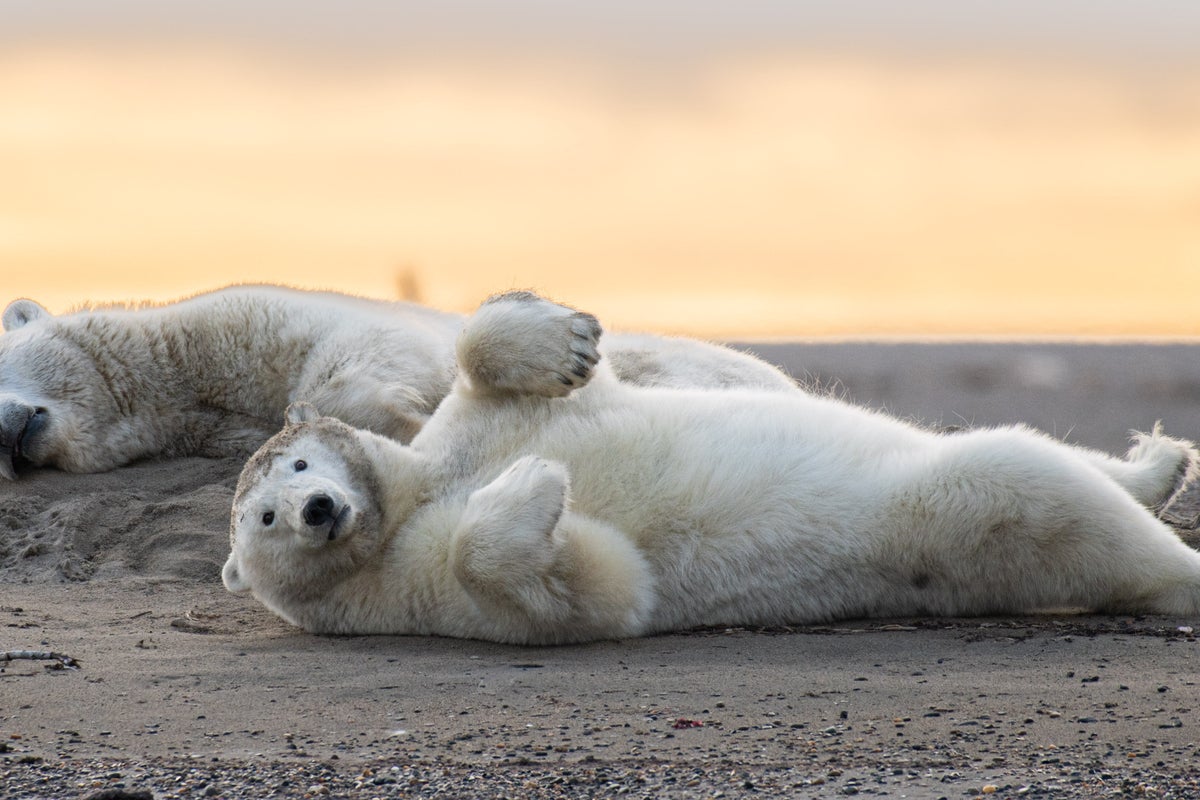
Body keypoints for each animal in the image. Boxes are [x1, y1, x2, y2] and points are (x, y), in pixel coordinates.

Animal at [222, 291, 1200, 644]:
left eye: (298, 461)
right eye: (261, 517)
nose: (315, 510)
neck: (409, 499)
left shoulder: (469, 428)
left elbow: (499, 363)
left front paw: (566, 339)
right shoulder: (408, 595)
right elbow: (596, 590)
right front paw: (535, 486)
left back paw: (1158, 463)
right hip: (961, 526)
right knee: (1031, 486)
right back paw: (1179, 567)